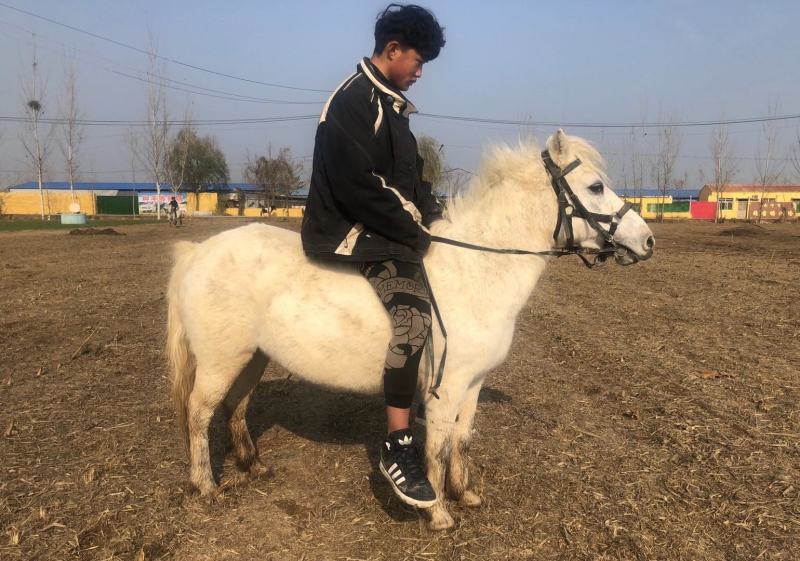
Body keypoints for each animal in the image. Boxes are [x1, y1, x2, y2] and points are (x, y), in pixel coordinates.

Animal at [166, 130, 654, 530]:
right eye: (595, 186)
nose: (647, 241)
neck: (477, 268)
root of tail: (197, 253)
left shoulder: (473, 384)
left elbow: (463, 440)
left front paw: (465, 495)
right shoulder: (445, 387)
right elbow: (436, 448)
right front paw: (438, 512)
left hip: (252, 357)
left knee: (237, 406)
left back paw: (252, 466)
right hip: (220, 361)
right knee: (199, 413)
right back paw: (206, 486)